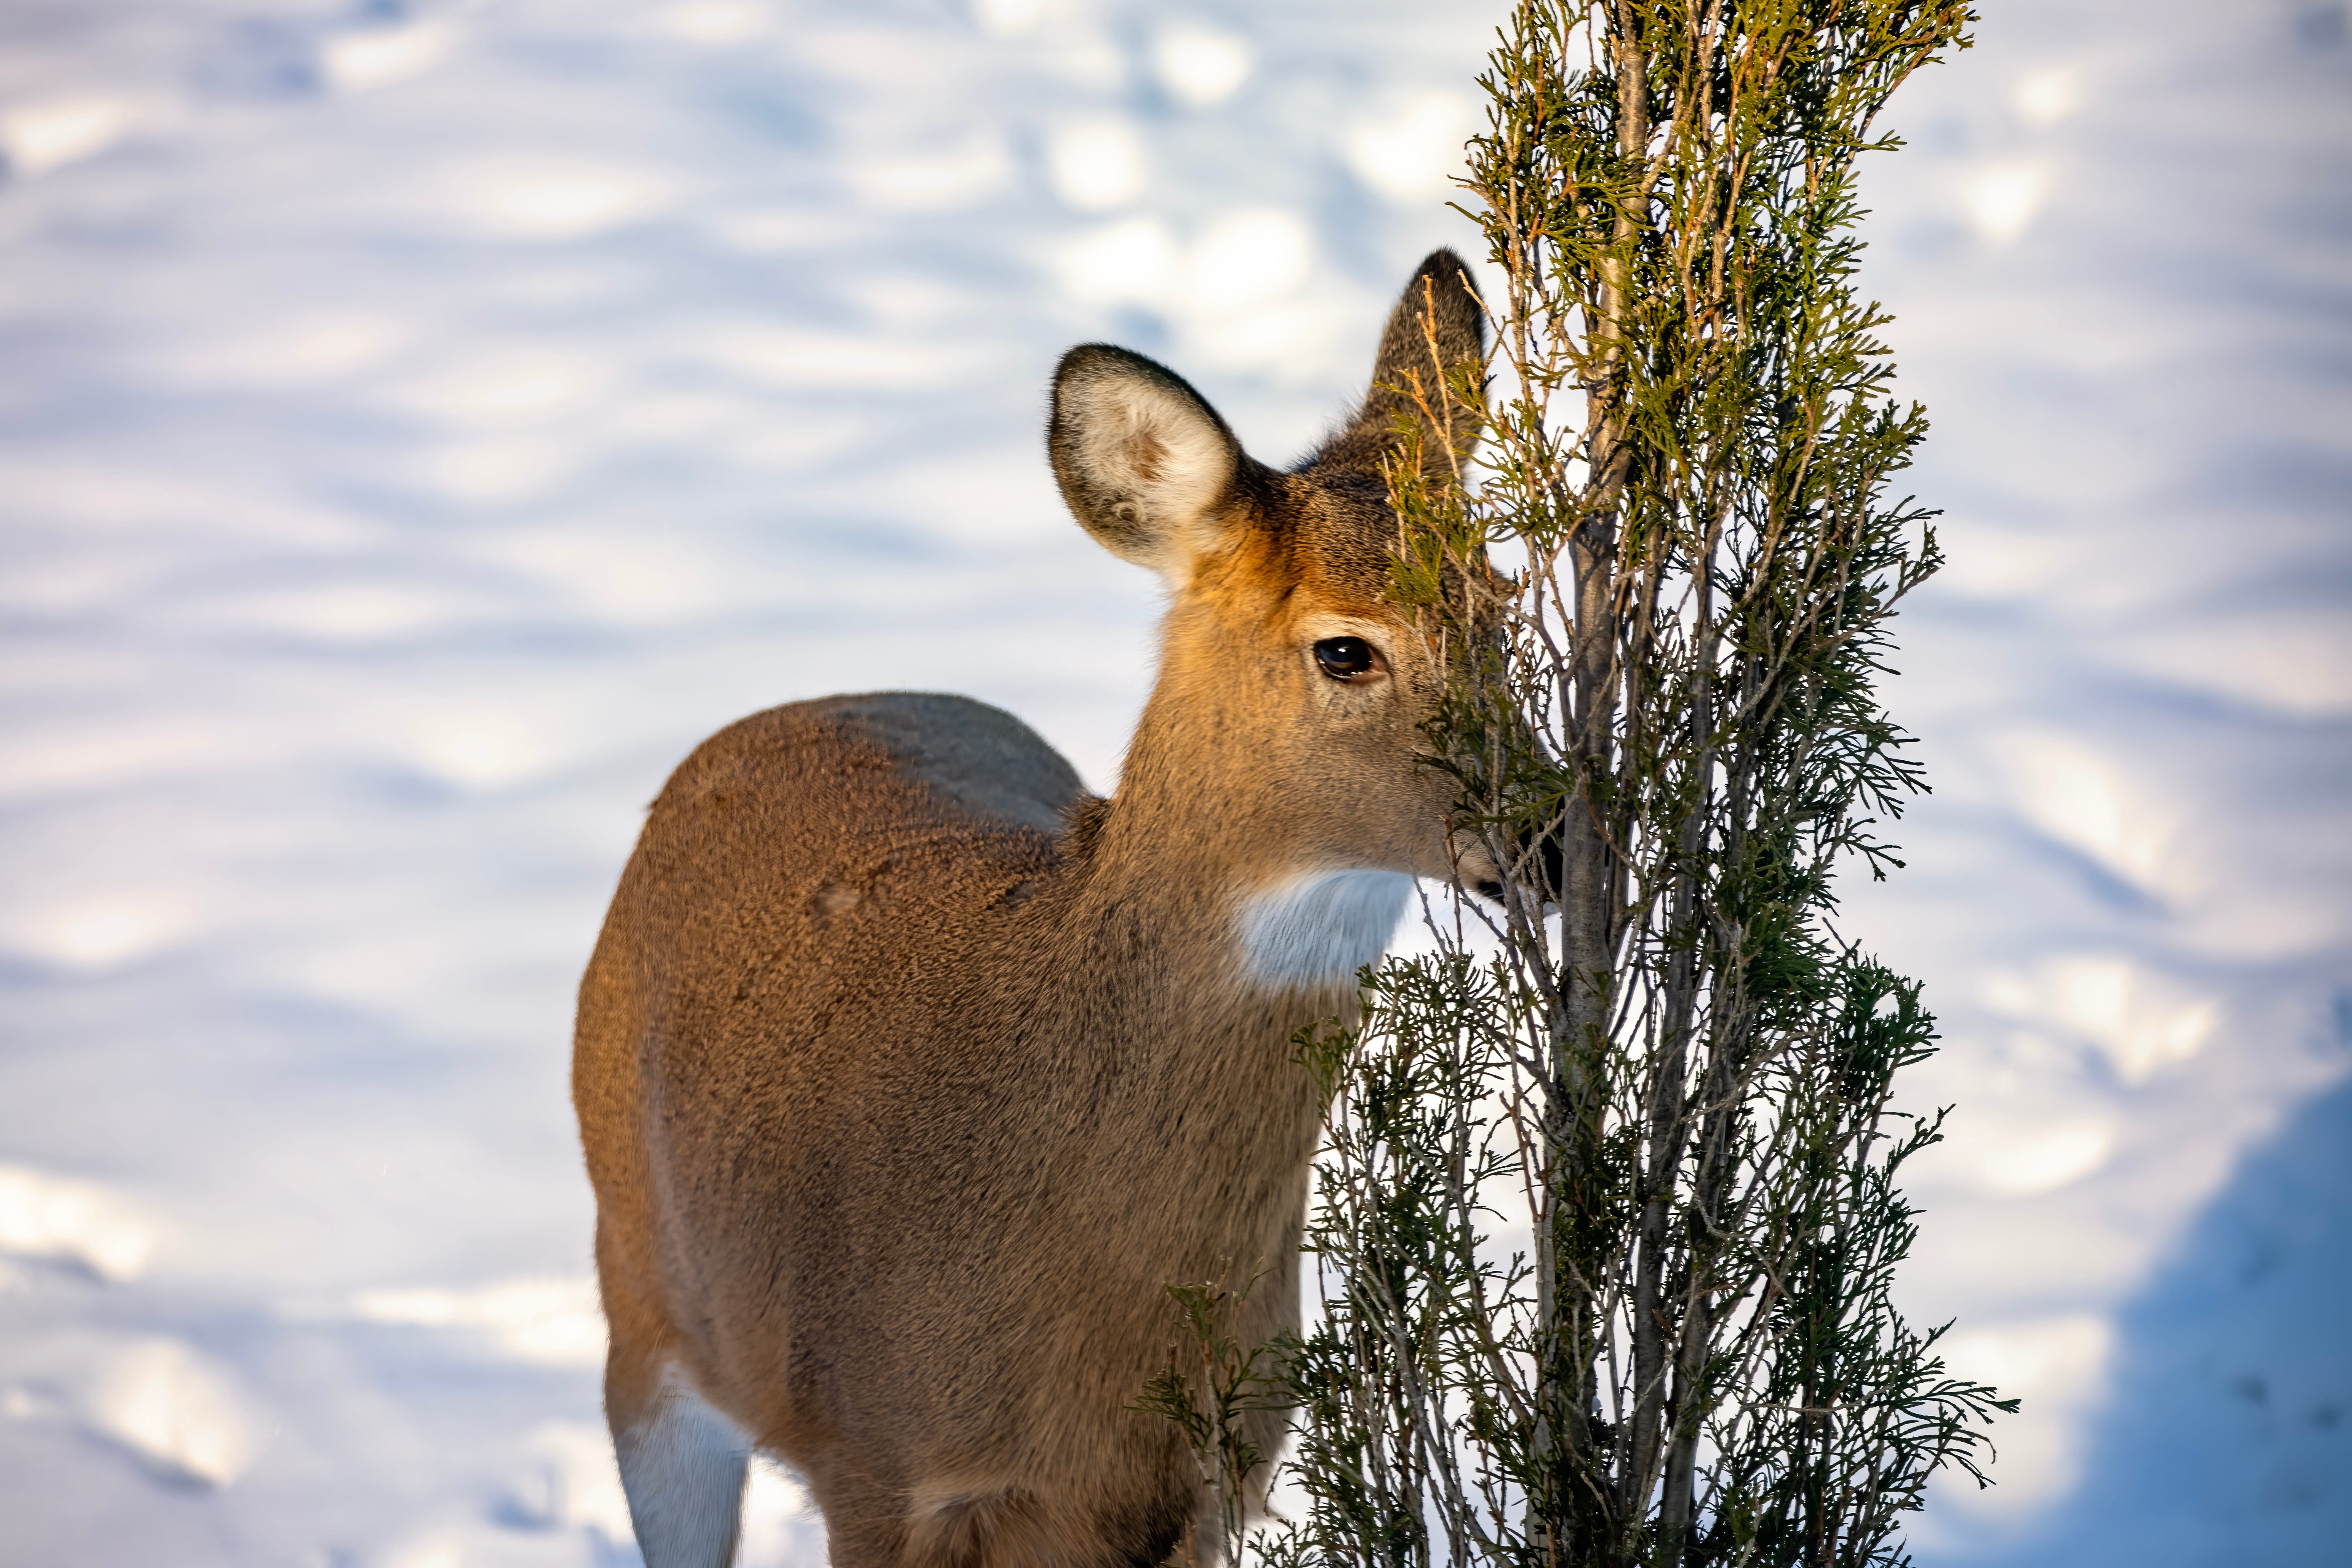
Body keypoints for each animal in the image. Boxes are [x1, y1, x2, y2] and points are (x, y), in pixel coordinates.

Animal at [572, 249, 1494, 1568]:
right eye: (1343, 649)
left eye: (1503, 609)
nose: (1553, 837)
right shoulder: (874, 1460)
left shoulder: (1211, 1482)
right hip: (642, 1302)